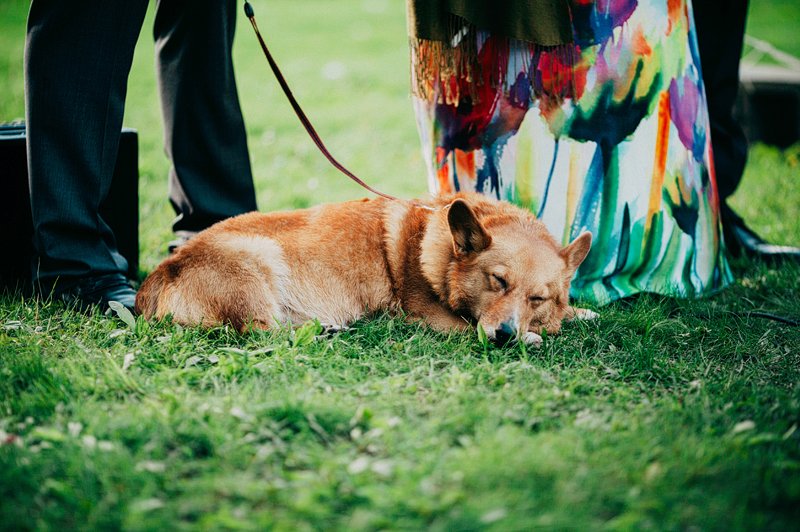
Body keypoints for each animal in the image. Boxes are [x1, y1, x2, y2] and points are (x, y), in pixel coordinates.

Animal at [134, 191, 592, 344]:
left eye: (538, 297)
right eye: (497, 281)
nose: (505, 336)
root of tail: (161, 272)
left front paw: (580, 311)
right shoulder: (428, 317)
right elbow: (469, 327)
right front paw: (531, 337)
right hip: (258, 261)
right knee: (259, 331)